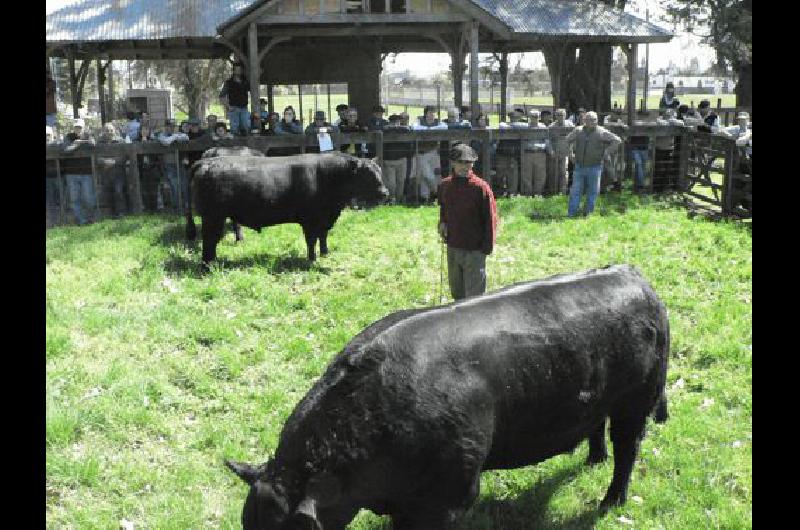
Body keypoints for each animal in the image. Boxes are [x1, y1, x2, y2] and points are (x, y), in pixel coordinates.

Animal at [186, 151, 390, 262]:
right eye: (367, 174)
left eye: (379, 171)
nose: (385, 193)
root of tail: (206, 162)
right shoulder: (310, 219)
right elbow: (312, 240)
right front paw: (312, 259)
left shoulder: (325, 218)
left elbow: (323, 236)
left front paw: (325, 253)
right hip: (212, 216)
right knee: (209, 239)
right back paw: (208, 264)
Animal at [228, 264, 672, 528]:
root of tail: (633, 276)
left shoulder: (451, 495)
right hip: (599, 394)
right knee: (598, 428)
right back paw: (593, 458)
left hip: (638, 399)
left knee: (628, 448)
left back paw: (611, 502)